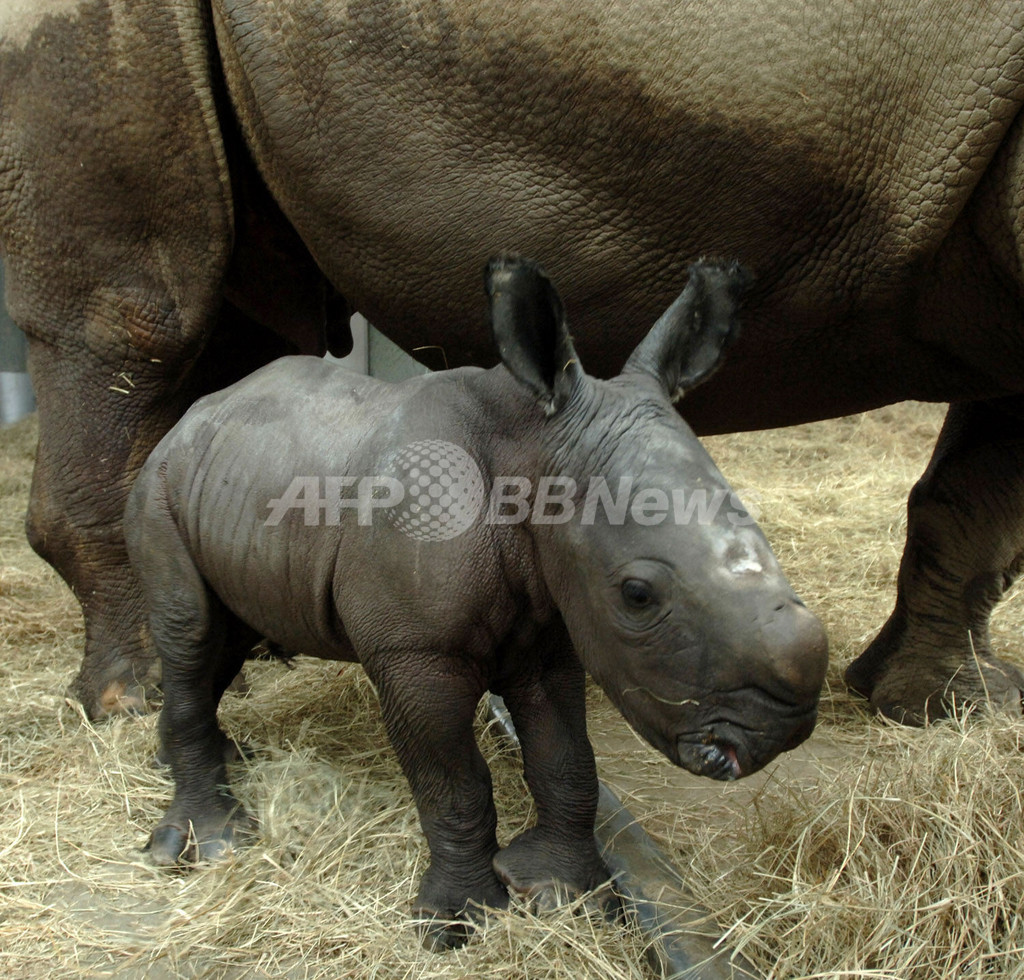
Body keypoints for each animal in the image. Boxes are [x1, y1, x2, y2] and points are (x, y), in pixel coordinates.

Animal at [2, 0, 1024, 720]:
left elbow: (979, 493)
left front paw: (946, 707)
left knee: (235, 339)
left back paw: (246, 657)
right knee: (134, 323)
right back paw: (137, 703)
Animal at [128, 256, 827, 950]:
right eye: (637, 595)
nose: (784, 727)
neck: (536, 452)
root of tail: (192, 416)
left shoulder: (552, 628)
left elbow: (568, 762)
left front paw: (566, 895)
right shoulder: (415, 652)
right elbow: (455, 784)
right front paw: (457, 923)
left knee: (225, 635)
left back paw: (202, 764)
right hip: (158, 484)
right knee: (191, 630)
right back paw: (208, 846)